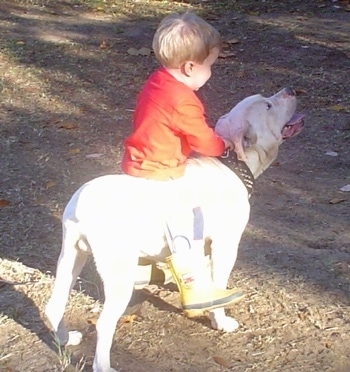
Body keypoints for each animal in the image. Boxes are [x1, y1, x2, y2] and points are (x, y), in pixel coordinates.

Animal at [45, 88, 304, 372]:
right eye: (268, 105)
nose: (291, 90)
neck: (232, 164)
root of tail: (81, 203)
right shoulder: (226, 244)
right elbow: (218, 281)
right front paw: (220, 321)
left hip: (72, 257)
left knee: (54, 306)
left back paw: (67, 339)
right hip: (117, 272)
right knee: (103, 323)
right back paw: (104, 366)